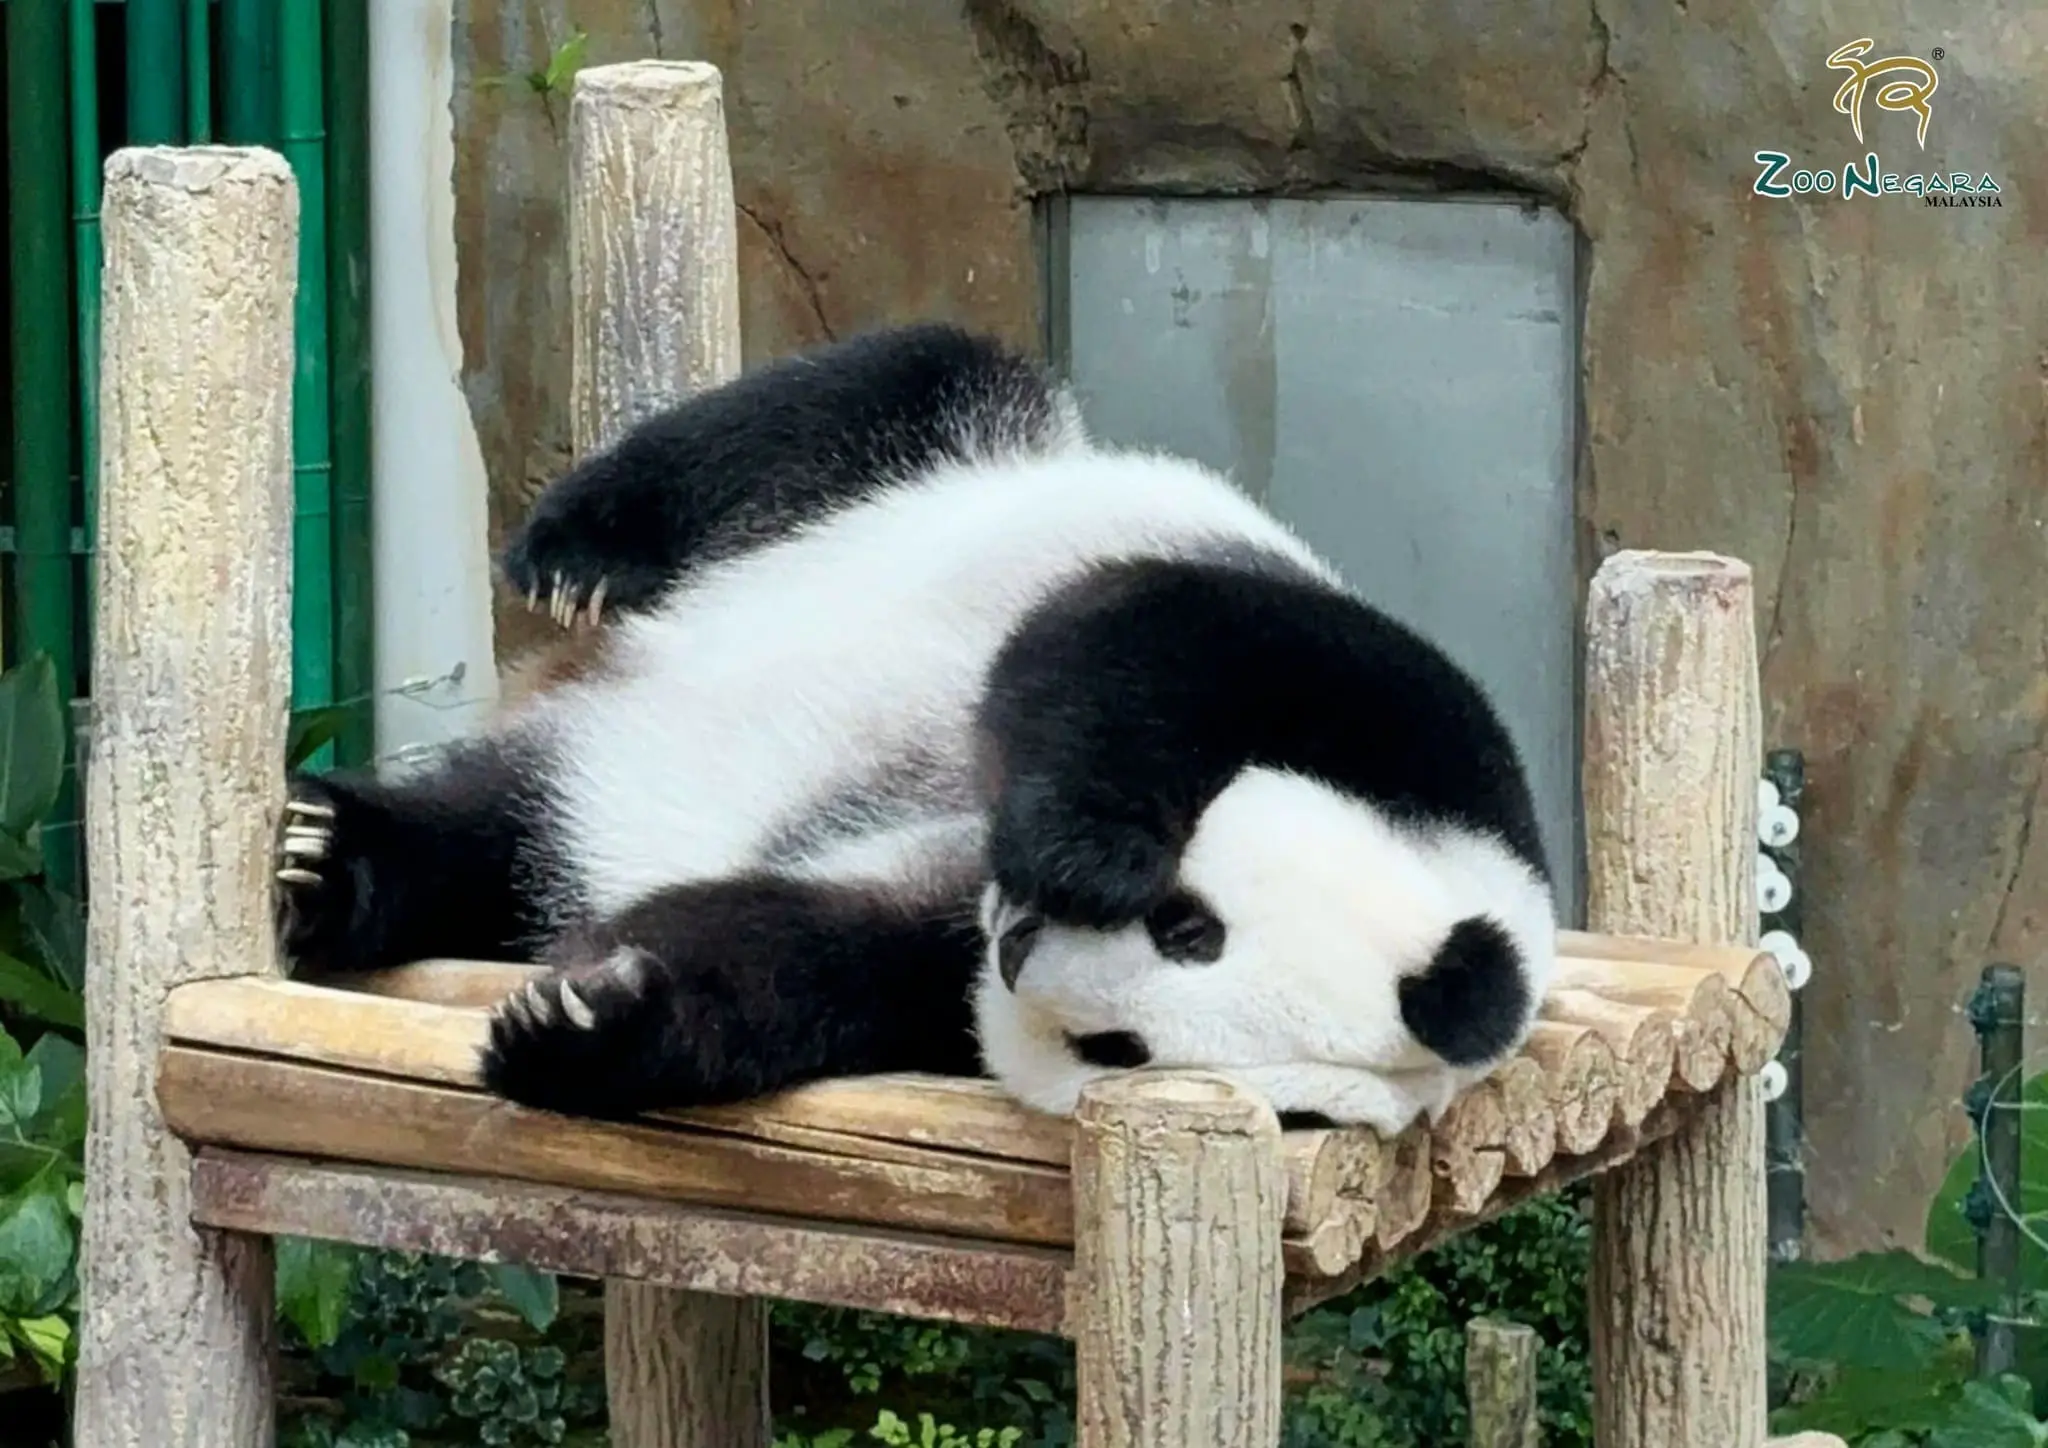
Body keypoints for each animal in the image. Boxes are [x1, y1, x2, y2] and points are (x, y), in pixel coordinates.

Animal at [273, 321, 1557, 1136]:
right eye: (1190, 927)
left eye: (1120, 1053)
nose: (1024, 943)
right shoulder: (1397, 703)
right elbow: (1120, 637)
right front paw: (1083, 848)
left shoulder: (934, 963)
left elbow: (808, 960)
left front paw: (590, 1018)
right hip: (943, 464)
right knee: (875, 390)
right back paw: (575, 559)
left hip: (581, 794)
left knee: (491, 837)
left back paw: (335, 868)